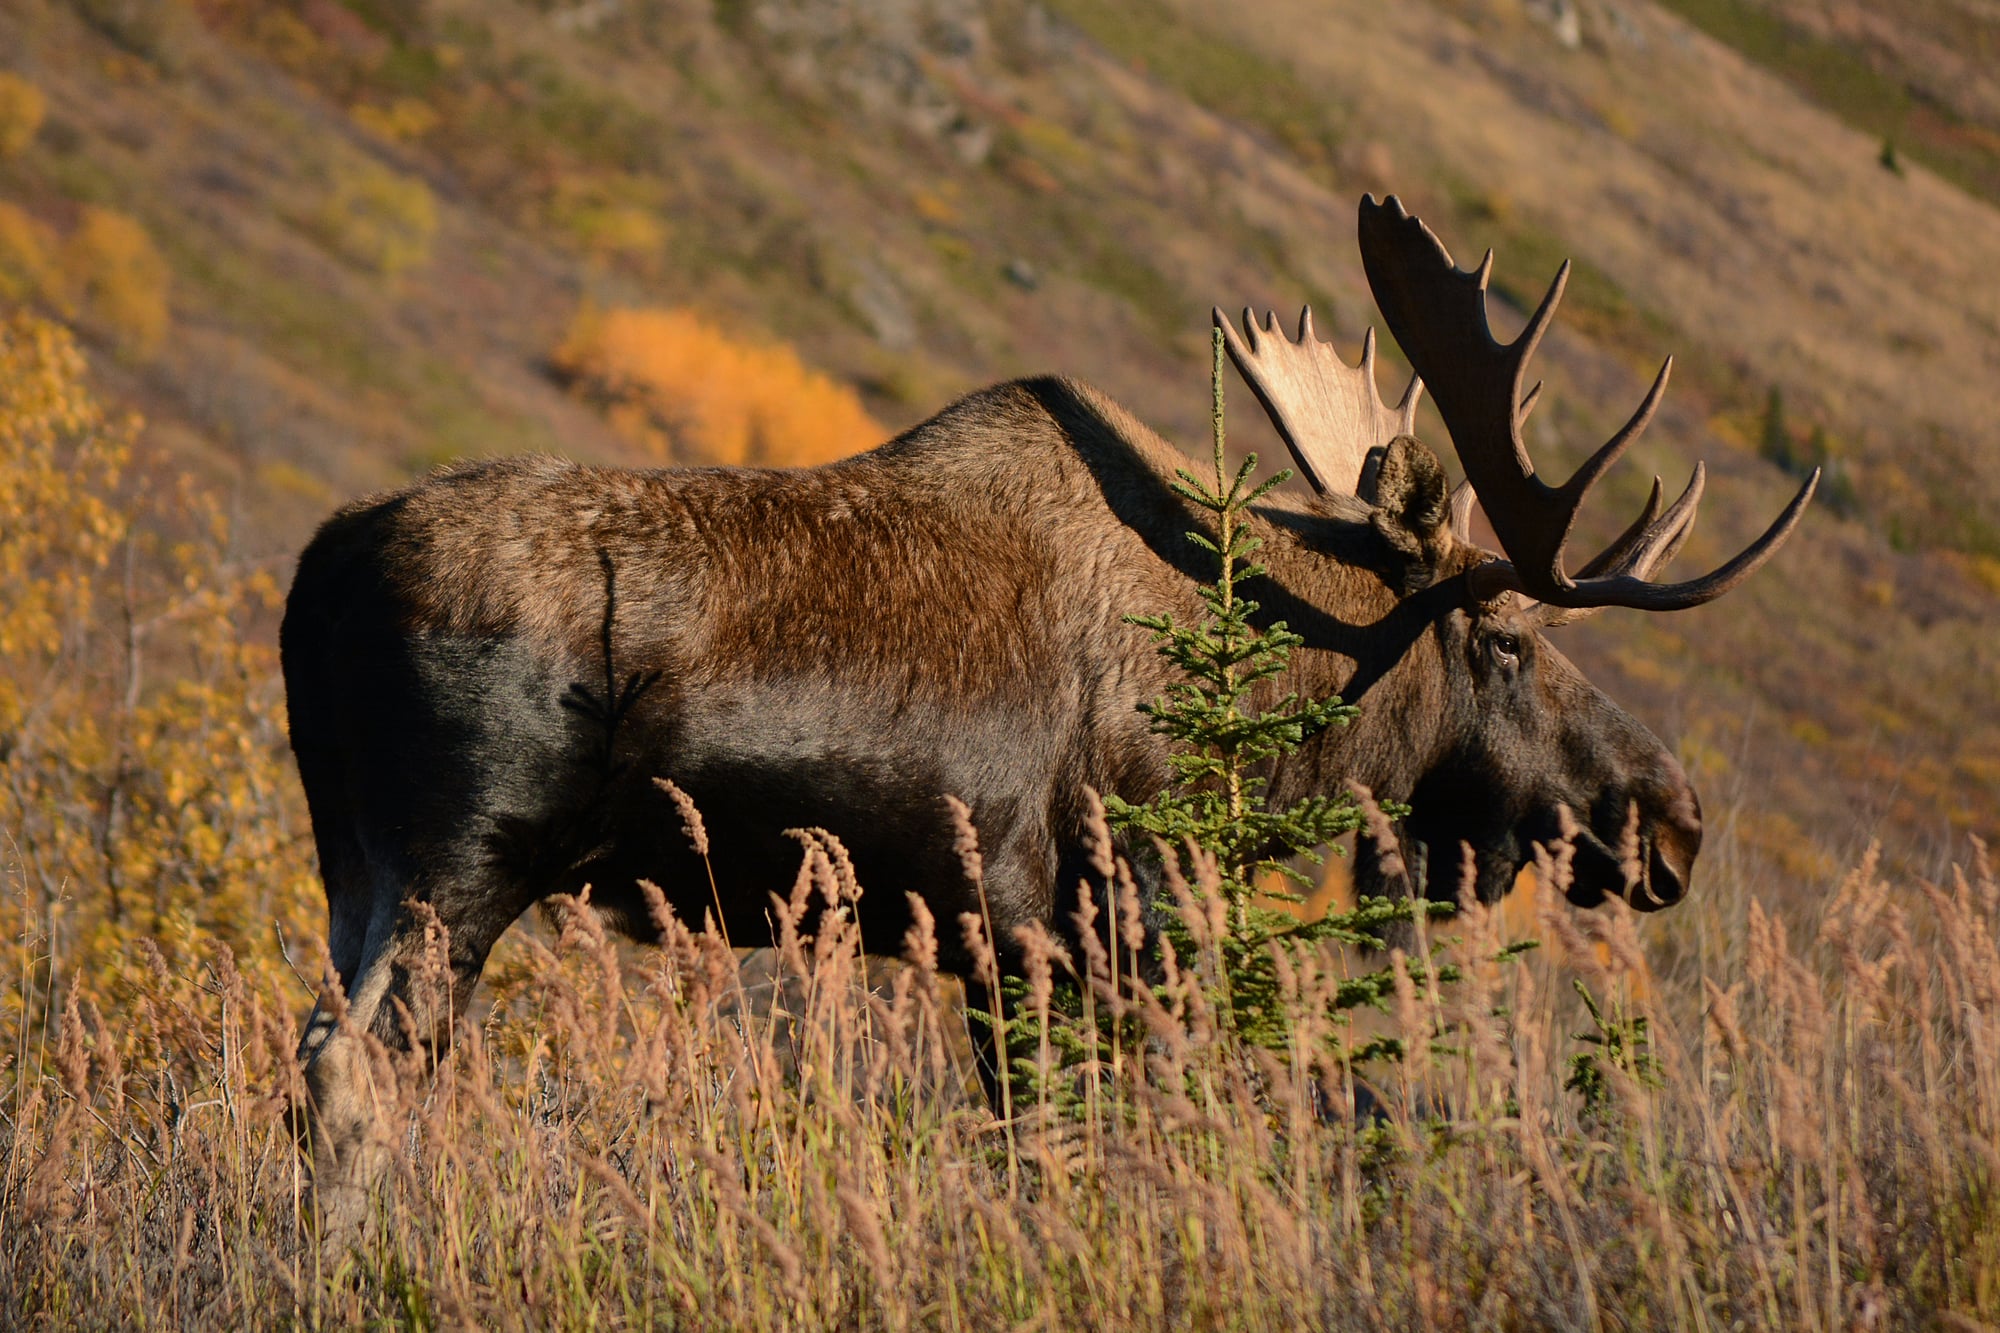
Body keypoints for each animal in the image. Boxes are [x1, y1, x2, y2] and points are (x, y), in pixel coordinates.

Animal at [280, 195, 1815, 1216]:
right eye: (1503, 639)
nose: (1671, 821)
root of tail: (319, 574)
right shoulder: (1069, 925)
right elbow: (1063, 1153)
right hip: (463, 861)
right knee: (356, 1078)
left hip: (356, 859)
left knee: (312, 1055)